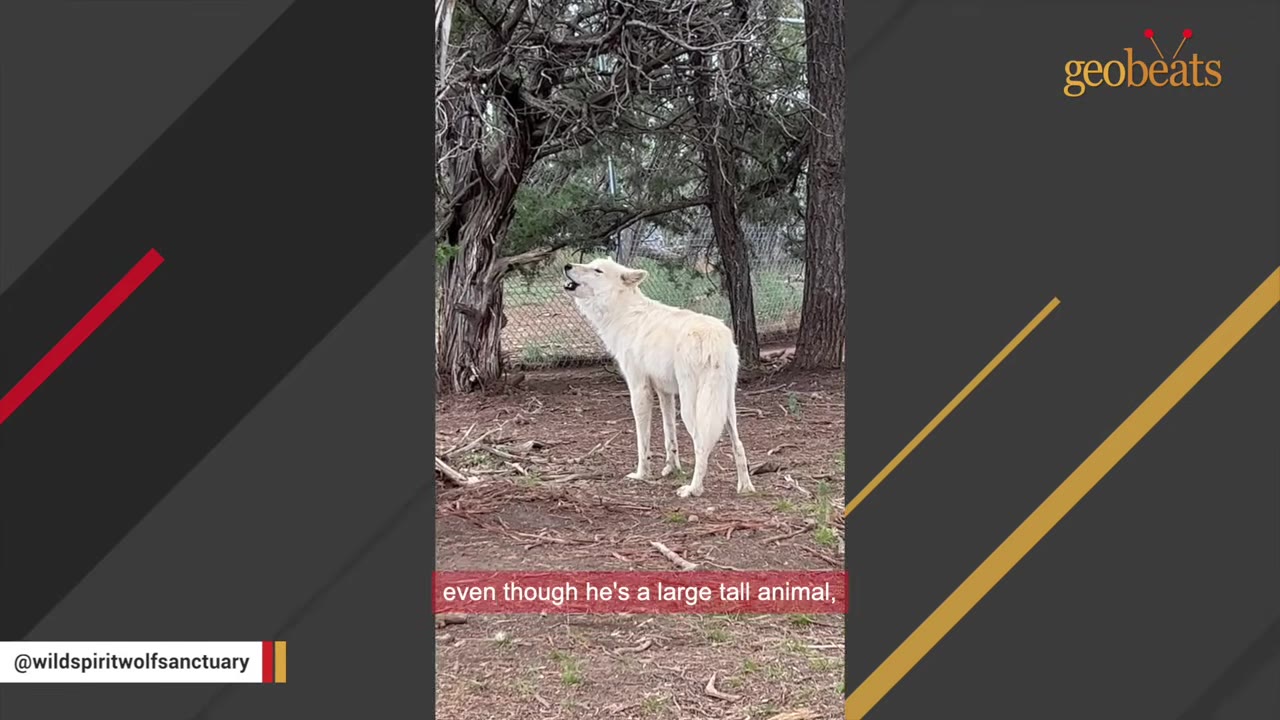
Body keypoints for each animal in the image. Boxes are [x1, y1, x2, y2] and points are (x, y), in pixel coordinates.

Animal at [562, 258, 753, 498]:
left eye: (597, 270)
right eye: (590, 263)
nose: (567, 265)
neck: (623, 313)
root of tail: (714, 337)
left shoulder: (639, 389)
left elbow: (642, 440)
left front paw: (641, 474)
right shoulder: (665, 393)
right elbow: (669, 434)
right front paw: (671, 469)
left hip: (692, 409)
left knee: (701, 445)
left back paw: (693, 489)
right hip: (725, 406)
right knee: (739, 444)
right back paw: (745, 487)